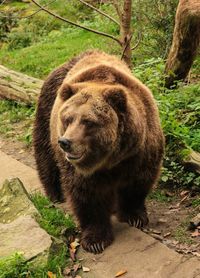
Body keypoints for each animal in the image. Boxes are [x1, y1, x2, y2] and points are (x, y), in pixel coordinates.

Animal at [33, 50, 164, 254]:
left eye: (88, 121)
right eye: (68, 118)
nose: (65, 142)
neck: (111, 158)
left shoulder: (141, 150)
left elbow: (138, 181)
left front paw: (135, 216)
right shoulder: (81, 170)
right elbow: (87, 195)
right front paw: (96, 239)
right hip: (47, 110)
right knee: (45, 153)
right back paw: (55, 194)